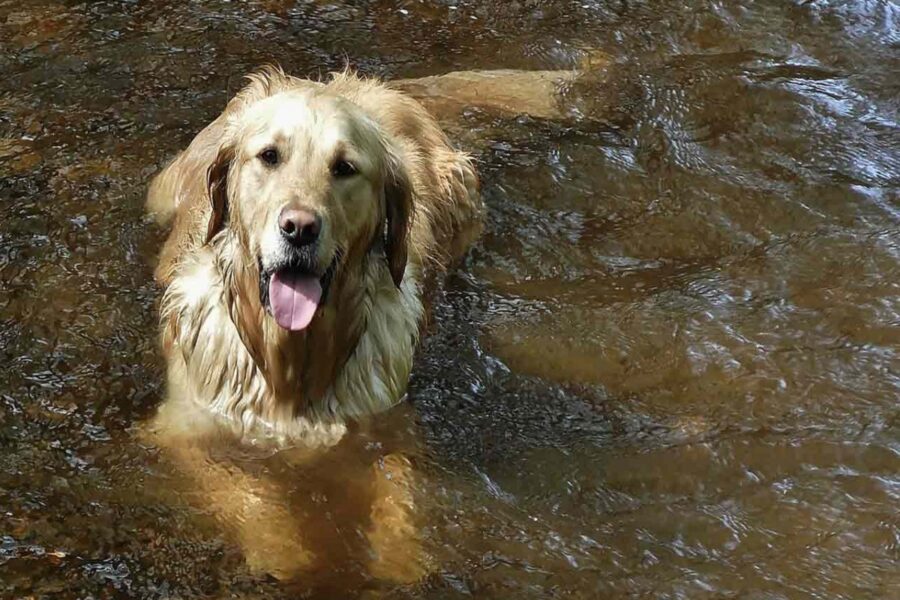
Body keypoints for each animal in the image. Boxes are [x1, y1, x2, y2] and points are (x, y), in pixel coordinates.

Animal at [146, 65, 486, 580]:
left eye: (344, 168)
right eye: (269, 156)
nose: (299, 227)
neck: (291, 357)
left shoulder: (389, 422)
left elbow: (401, 484)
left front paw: (401, 552)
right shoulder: (186, 428)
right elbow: (243, 489)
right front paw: (283, 547)